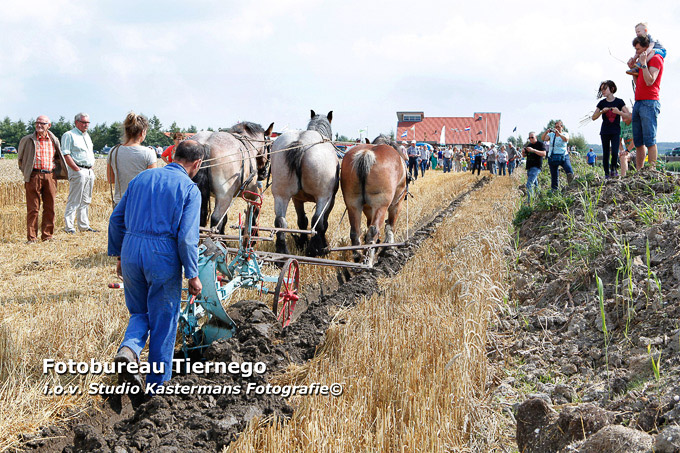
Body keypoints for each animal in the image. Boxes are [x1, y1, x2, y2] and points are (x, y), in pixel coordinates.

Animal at [270, 111, 340, 256]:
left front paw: (302, 242)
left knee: (280, 221)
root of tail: (301, 143)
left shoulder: (297, 199)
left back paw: (282, 251)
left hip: (281, 195)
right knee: (317, 221)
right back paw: (316, 250)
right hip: (323, 197)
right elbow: (323, 223)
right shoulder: (331, 200)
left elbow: (302, 221)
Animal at [342, 132, 406, 264]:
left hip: (353, 203)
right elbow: (390, 225)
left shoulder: (367, 207)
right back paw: (368, 261)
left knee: (355, 231)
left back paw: (358, 256)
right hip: (381, 204)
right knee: (373, 230)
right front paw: (389, 248)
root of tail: (366, 153)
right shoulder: (397, 203)